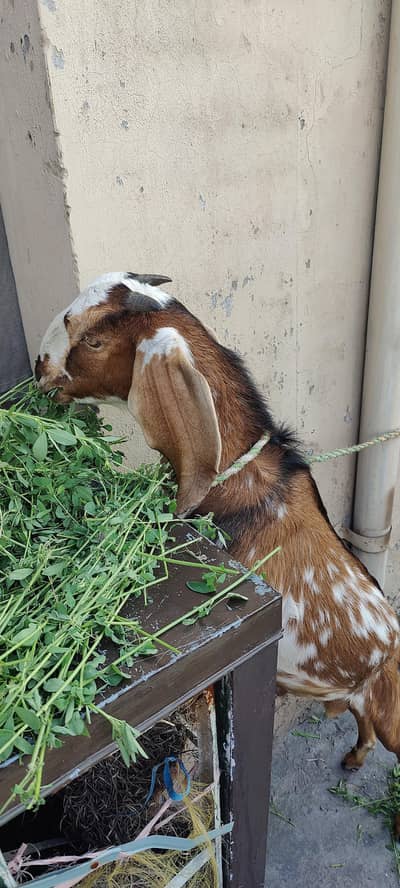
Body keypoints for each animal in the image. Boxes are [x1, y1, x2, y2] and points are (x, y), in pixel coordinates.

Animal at [36, 272, 400, 807]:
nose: (39, 367)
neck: (241, 481)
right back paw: (353, 759)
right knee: (365, 726)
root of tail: (389, 647)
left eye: (96, 340)